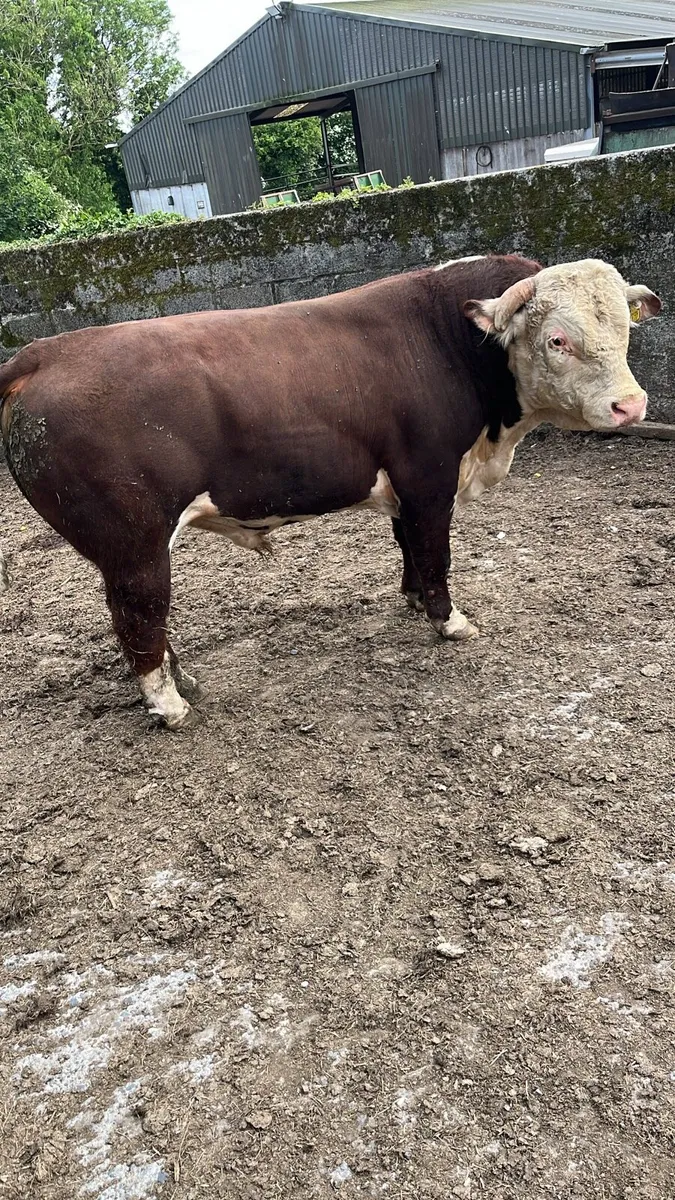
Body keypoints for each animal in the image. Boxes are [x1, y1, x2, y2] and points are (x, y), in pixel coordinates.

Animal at [0, 254, 661, 728]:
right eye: (557, 339)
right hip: (133, 543)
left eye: (624, 328)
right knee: (137, 617)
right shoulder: (429, 476)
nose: (630, 406)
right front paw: (449, 621)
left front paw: (413, 600)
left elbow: (408, 546)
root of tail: (45, 352)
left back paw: (182, 679)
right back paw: (170, 705)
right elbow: (434, 551)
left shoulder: (402, 482)